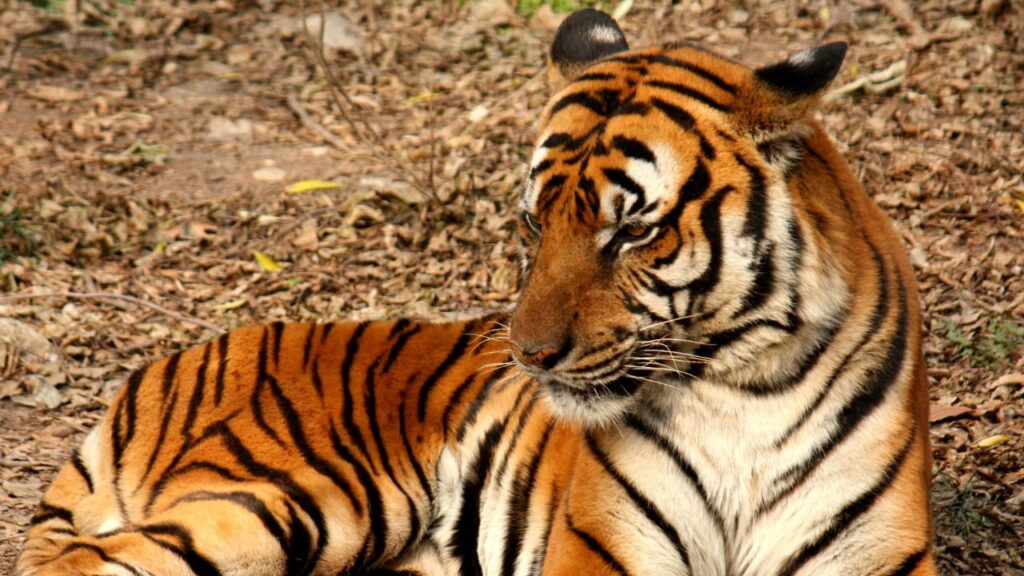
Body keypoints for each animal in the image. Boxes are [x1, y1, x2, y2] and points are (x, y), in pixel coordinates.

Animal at [15, 8, 935, 576]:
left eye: (631, 233)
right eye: (534, 224)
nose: (530, 356)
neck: (745, 391)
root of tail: (158, 370)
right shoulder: (606, 546)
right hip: (291, 494)